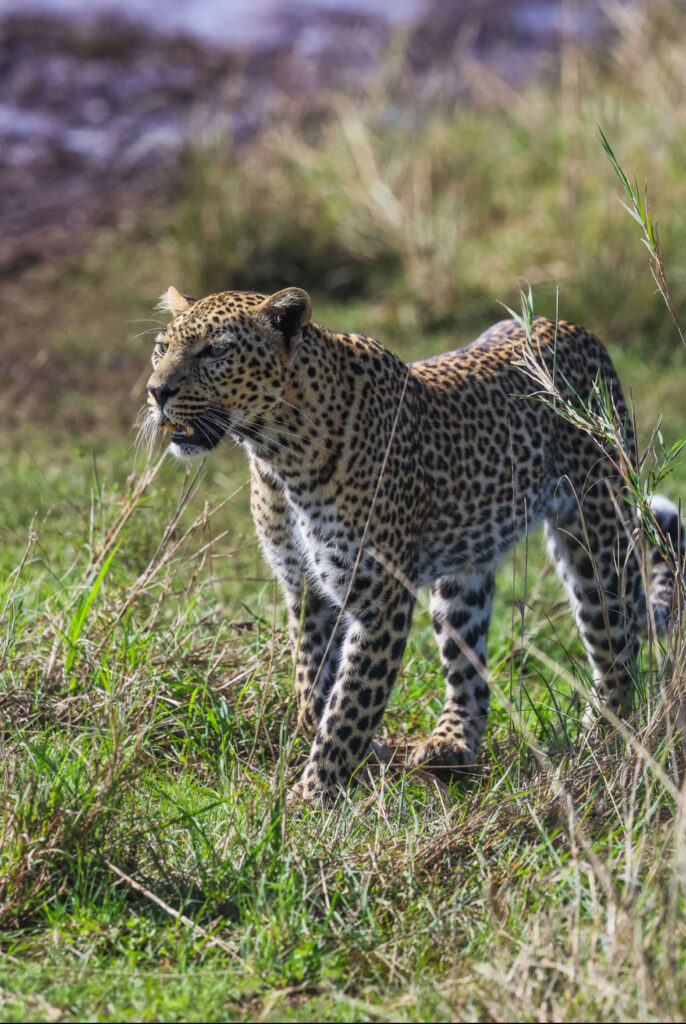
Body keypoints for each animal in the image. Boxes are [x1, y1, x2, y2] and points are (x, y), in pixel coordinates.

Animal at [143, 284, 684, 804]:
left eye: (215, 351)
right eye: (162, 348)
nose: (156, 391)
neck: (278, 453)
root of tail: (577, 330)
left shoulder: (379, 597)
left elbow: (348, 704)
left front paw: (311, 797)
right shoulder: (305, 588)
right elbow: (313, 693)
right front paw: (365, 758)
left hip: (598, 538)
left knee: (618, 652)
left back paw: (603, 746)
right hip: (462, 577)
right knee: (471, 673)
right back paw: (451, 747)